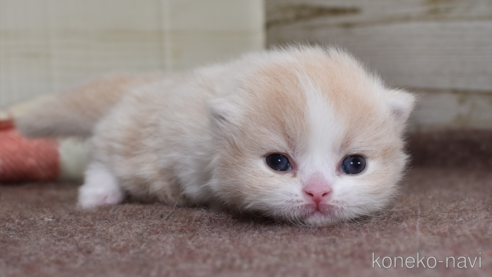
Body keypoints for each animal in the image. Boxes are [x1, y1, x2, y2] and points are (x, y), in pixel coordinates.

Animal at [15, 46, 416, 225]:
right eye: (278, 162)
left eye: (354, 165)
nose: (318, 192)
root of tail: (145, 85)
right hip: (132, 138)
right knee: (103, 155)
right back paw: (98, 194)